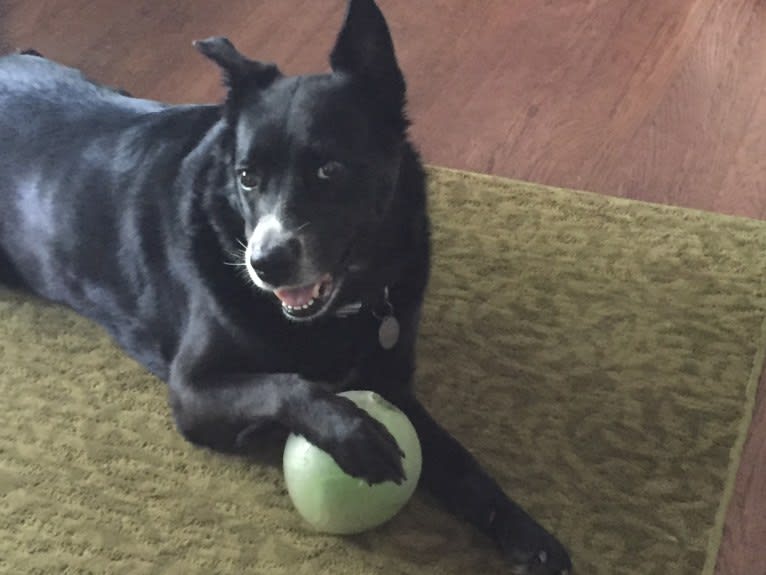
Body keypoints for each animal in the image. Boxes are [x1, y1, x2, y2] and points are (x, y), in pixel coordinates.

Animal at [0, 2, 568, 572]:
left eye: (329, 169)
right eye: (247, 176)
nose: (264, 264)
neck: (344, 306)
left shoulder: (394, 380)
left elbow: (459, 461)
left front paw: (527, 534)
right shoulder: (192, 391)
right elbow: (284, 384)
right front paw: (352, 433)